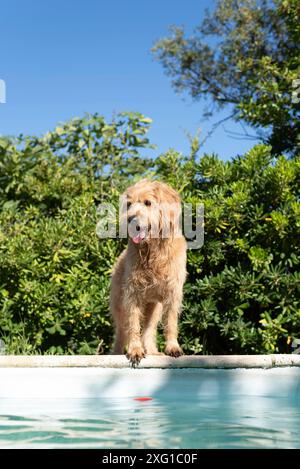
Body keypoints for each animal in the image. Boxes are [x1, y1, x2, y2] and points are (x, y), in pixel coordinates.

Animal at [110, 177, 186, 364]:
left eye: (147, 202)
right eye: (129, 204)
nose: (130, 218)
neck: (153, 251)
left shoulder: (173, 292)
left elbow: (171, 322)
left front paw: (172, 347)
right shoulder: (132, 293)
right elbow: (133, 323)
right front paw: (135, 350)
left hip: (154, 308)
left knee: (149, 330)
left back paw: (152, 351)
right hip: (119, 305)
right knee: (122, 331)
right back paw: (116, 353)